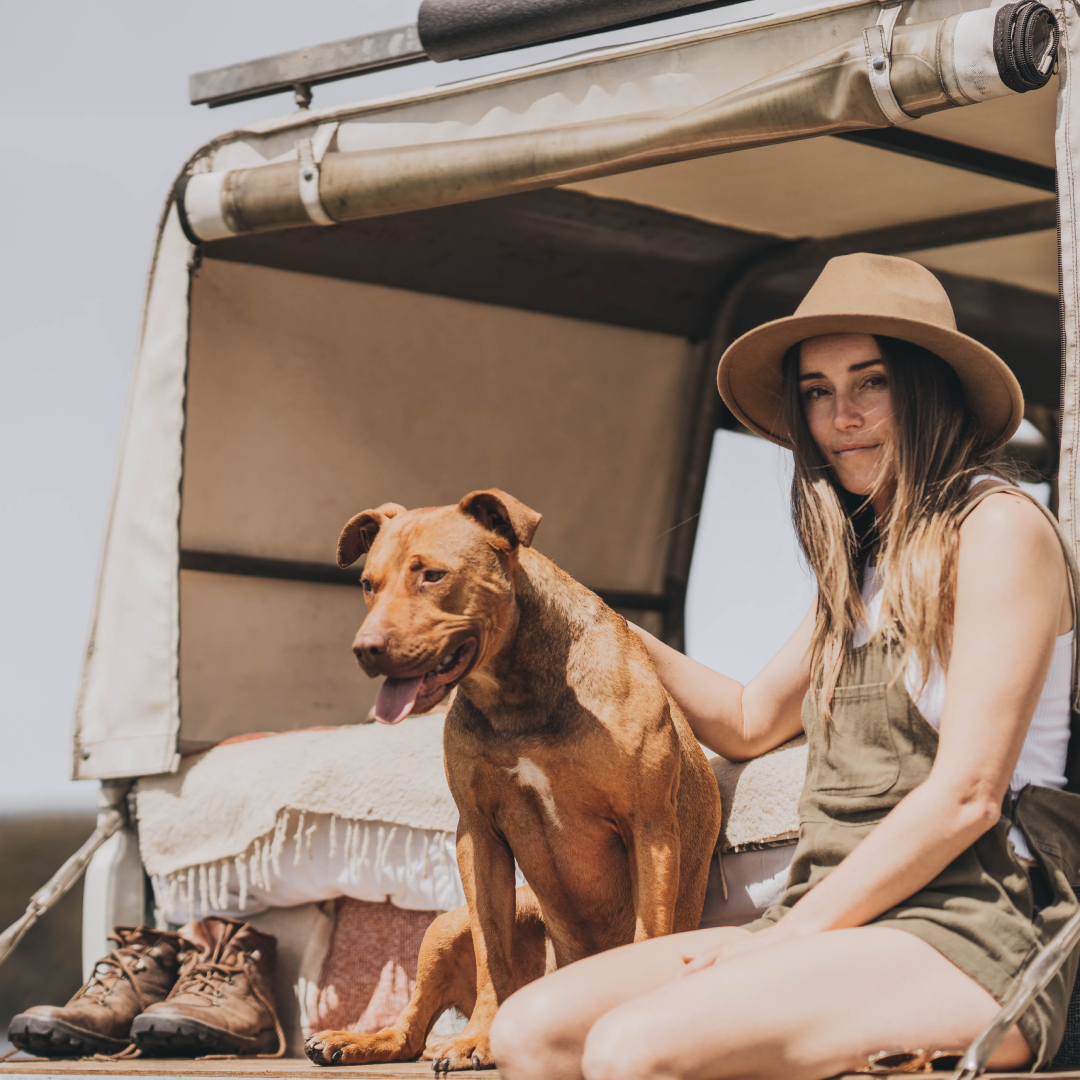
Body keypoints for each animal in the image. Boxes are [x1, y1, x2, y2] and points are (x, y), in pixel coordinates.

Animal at [304, 494, 721, 1067]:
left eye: (433, 575)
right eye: (368, 583)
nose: (366, 648)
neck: (516, 693)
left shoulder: (650, 827)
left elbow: (648, 931)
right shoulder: (478, 836)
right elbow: (492, 954)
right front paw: (481, 1036)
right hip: (444, 925)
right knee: (410, 1031)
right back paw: (355, 1040)